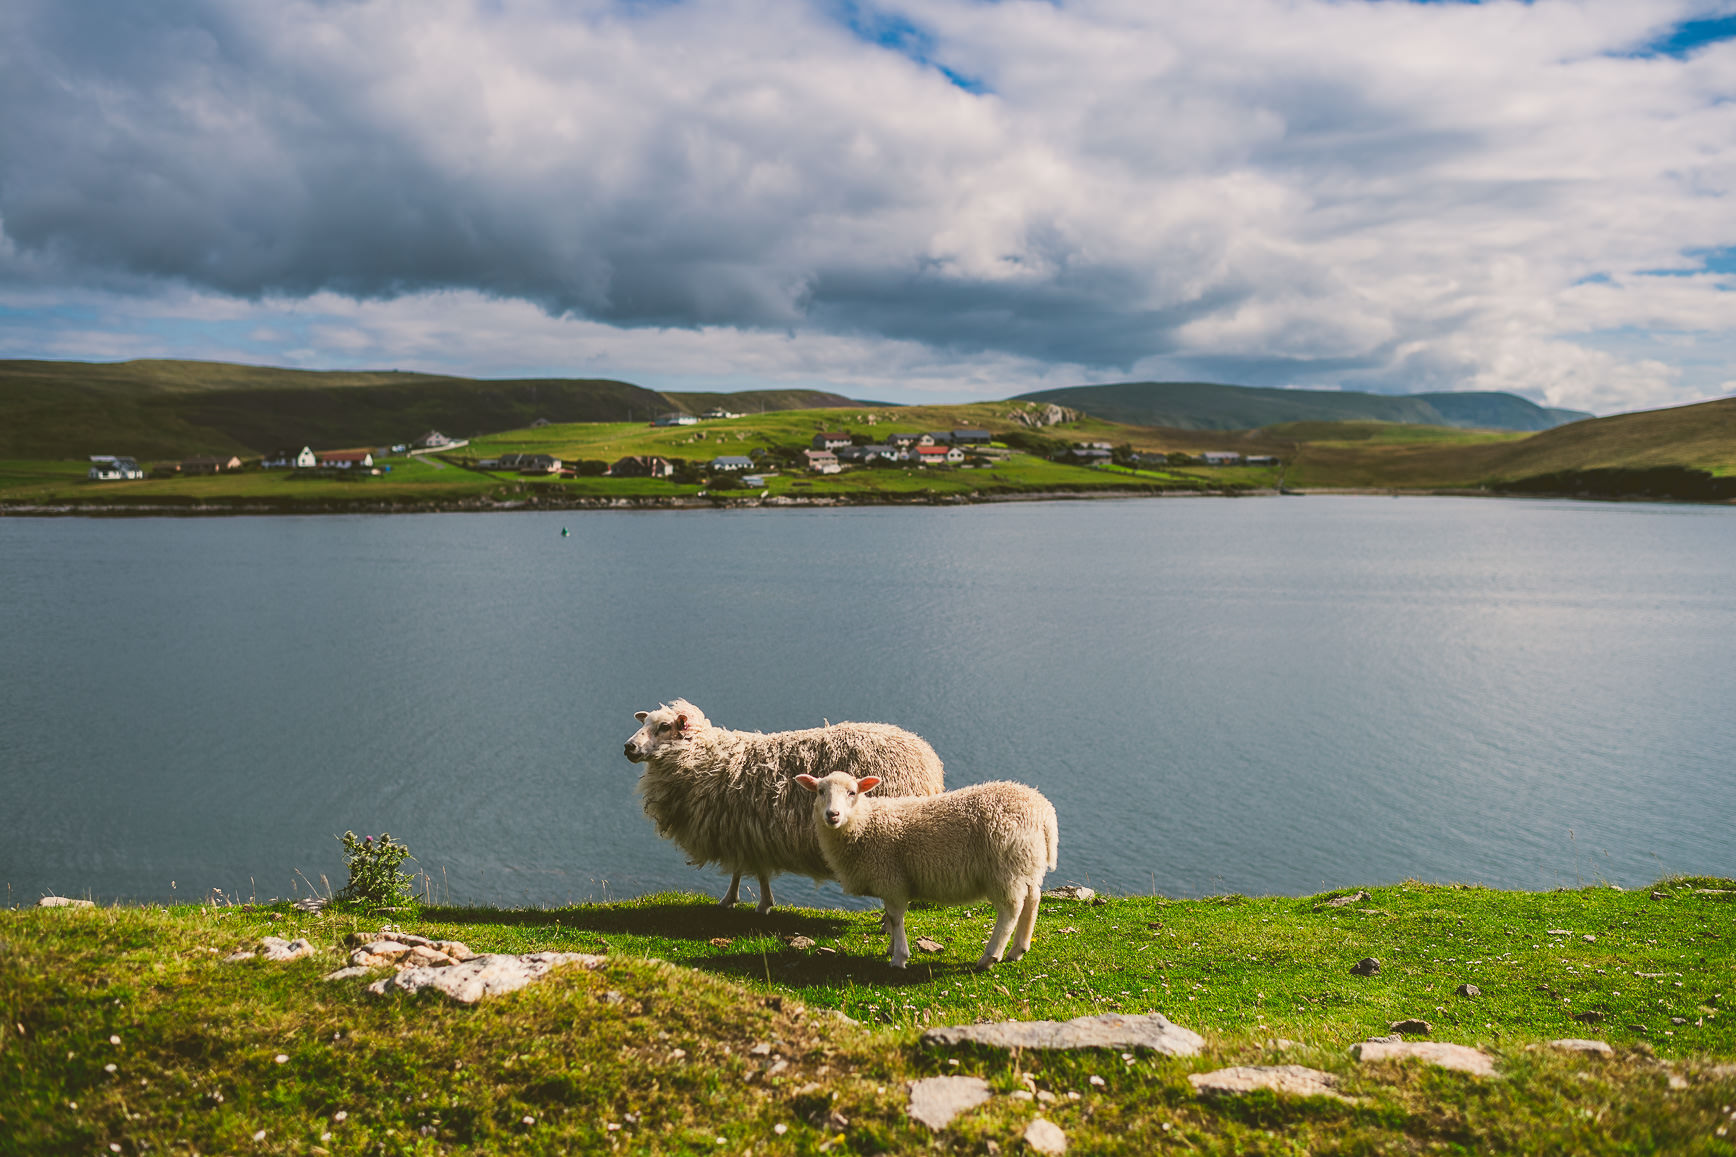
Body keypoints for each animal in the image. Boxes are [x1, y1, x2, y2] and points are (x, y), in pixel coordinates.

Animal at [624, 694, 944, 910]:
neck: (706, 758)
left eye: (664, 726)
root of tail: (925, 755)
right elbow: (750, 870)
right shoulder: (747, 832)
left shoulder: (739, 829)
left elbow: (746, 870)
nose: (629, 747)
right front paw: (754, 901)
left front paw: (738, 901)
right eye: (645, 723)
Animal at [791, 771, 1055, 965]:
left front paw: (899, 957)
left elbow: (895, 918)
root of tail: (1043, 811)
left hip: (1005, 869)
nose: (832, 815)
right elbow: (890, 918)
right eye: (820, 791)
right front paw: (892, 948)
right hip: (1027, 864)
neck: (865, 824)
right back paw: (1018, 949)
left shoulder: (892, 879)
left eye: (852, 792)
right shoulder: (890, 881)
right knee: (1033, 900)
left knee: (1010, 911)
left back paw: (990, 957)